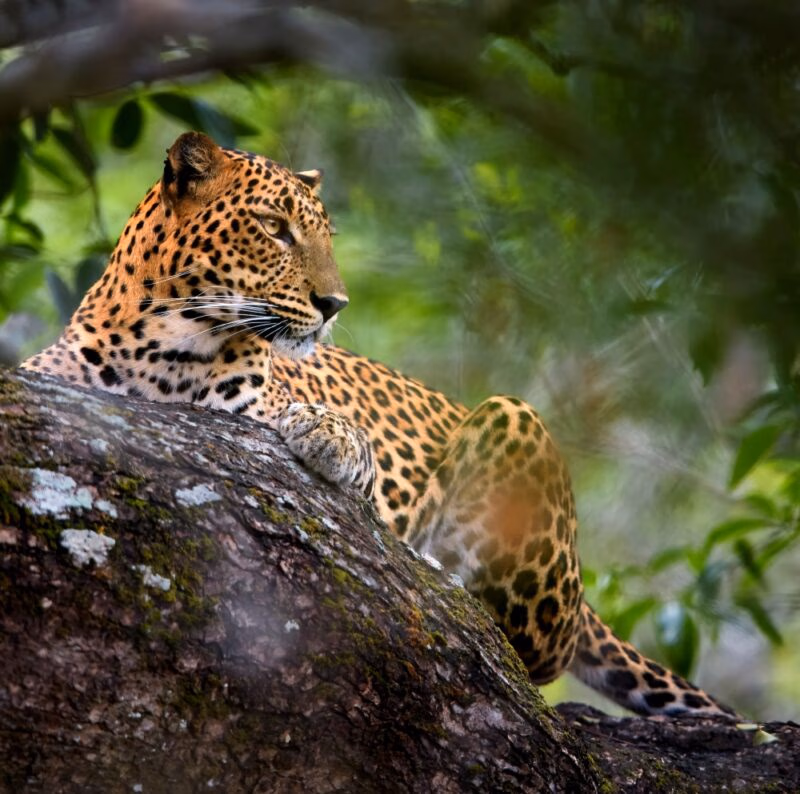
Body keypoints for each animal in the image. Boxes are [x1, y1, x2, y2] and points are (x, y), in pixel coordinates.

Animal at [23, 131, 738, 719]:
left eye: (325, 236)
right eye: (274, 227)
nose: (334, 303)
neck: (164, 345)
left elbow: (324, 433)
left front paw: (329, 434)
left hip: (516, 420)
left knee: (531, 649)